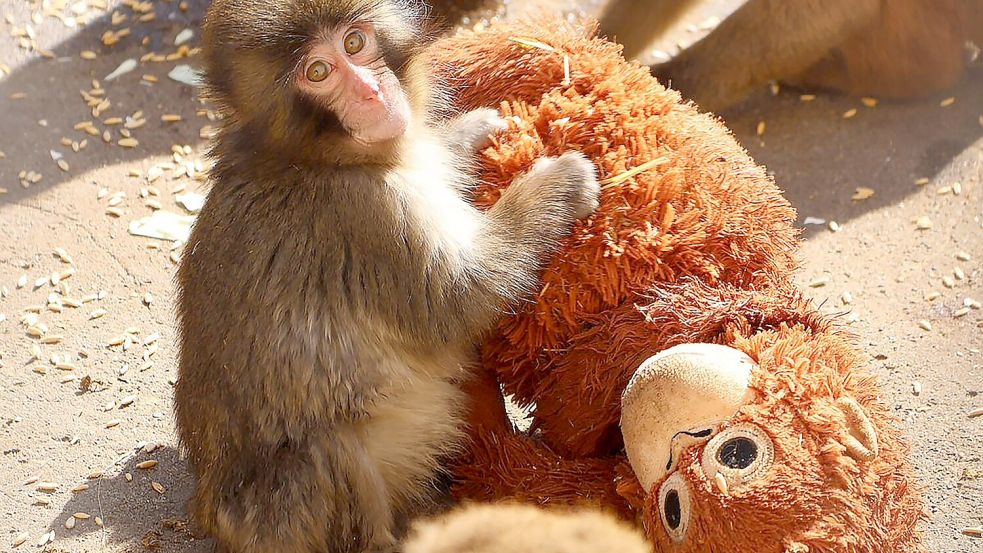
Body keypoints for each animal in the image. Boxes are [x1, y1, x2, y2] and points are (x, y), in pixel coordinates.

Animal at [171, 0, 600, 552]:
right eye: (318, 72)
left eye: (354, 43)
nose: (372, 92)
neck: (311, 158)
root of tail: (206, 510)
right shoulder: (366, 215)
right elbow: (460, 298)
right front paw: (558, 184)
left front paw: (467, 131)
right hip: (278, 516)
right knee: (326, 449)